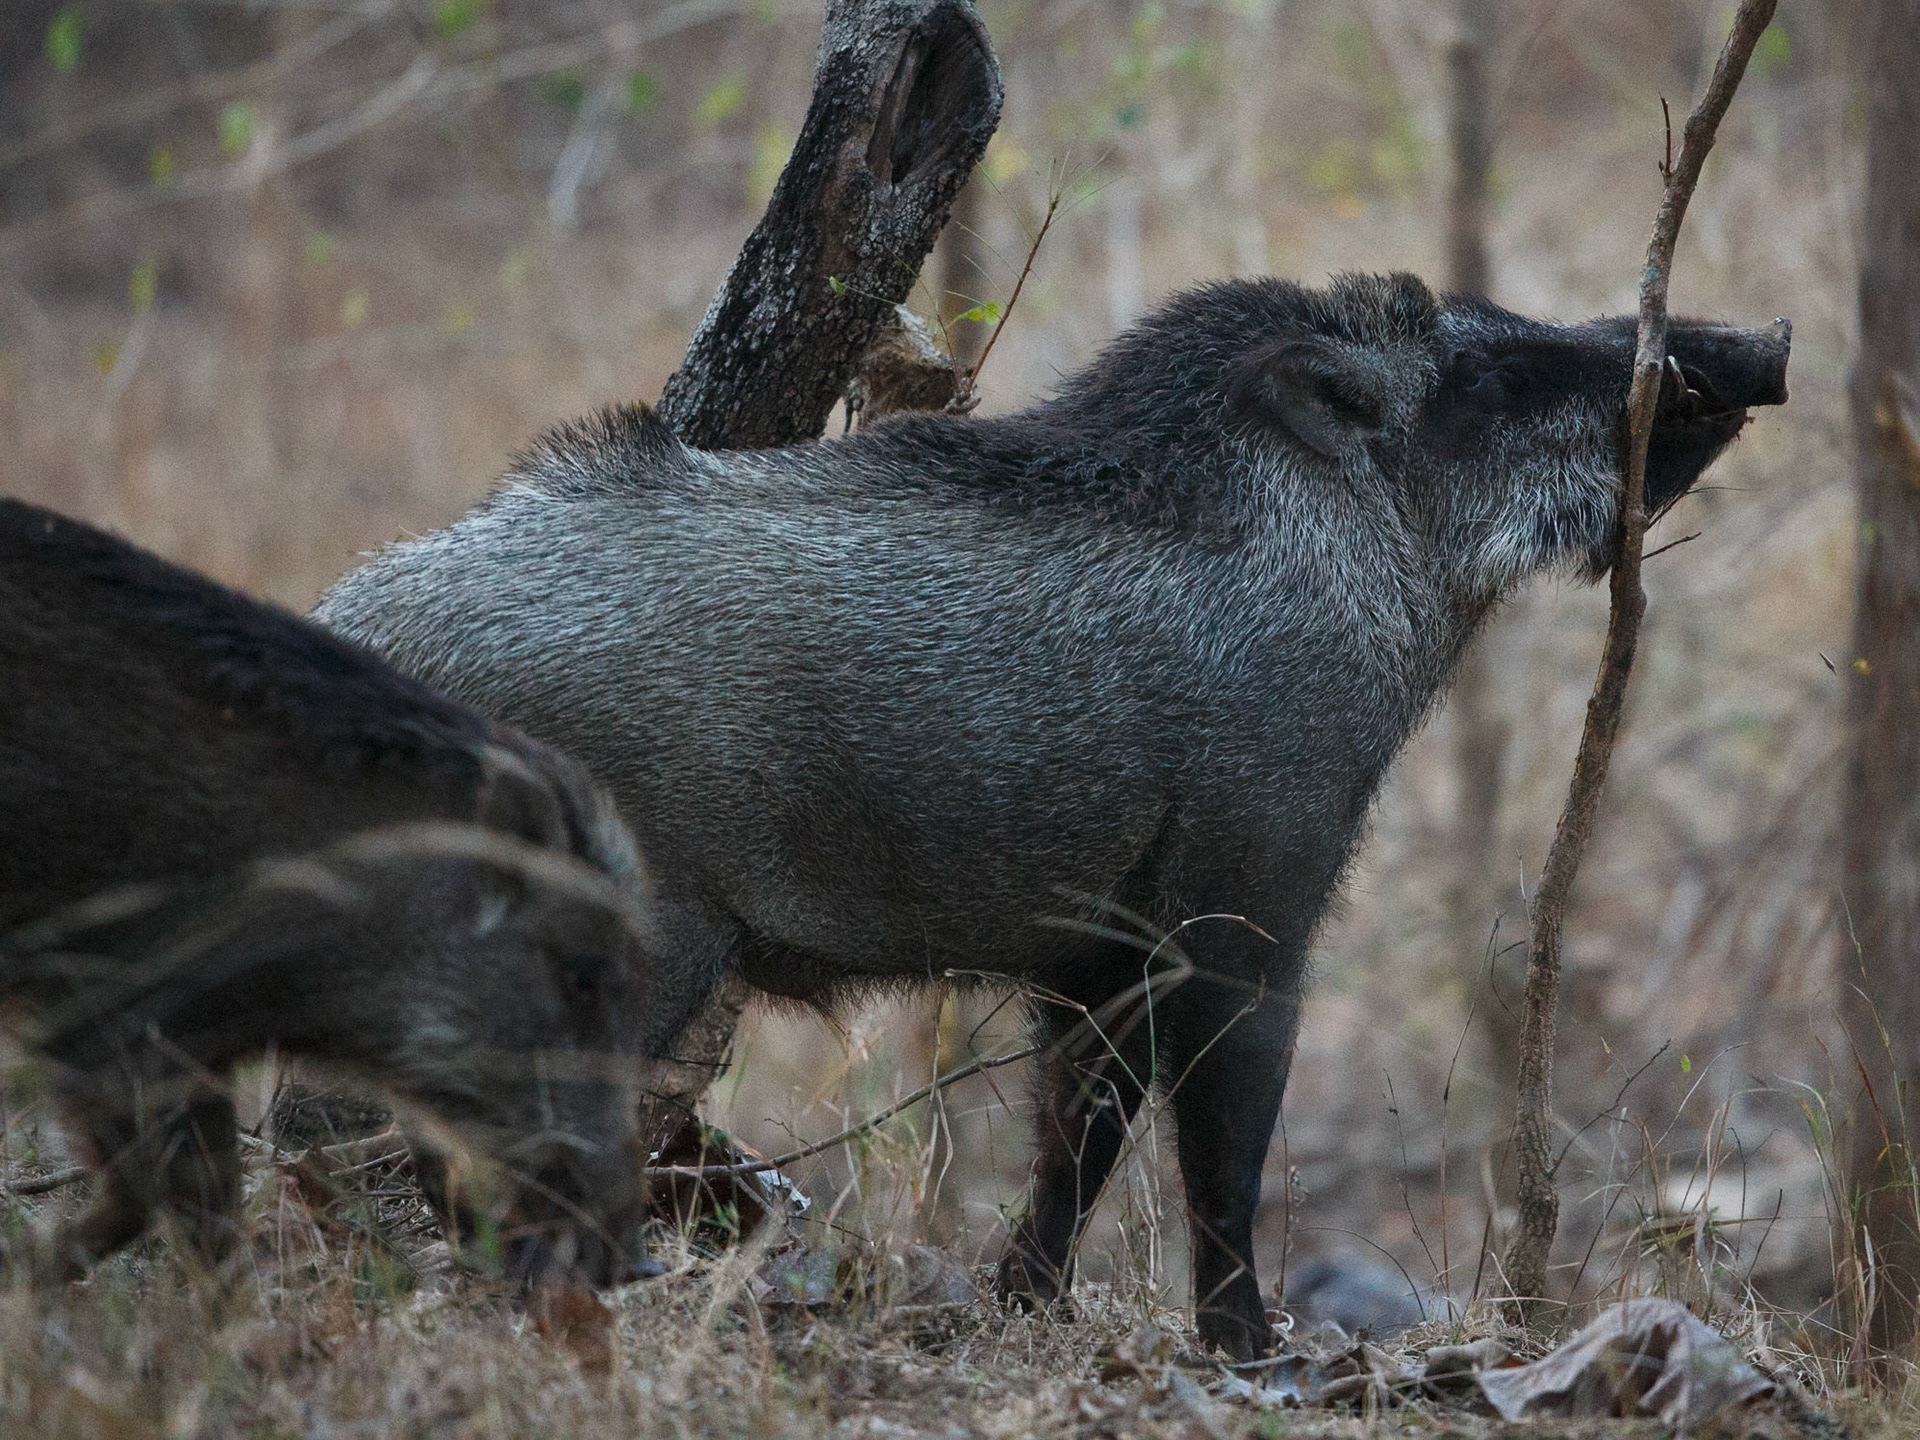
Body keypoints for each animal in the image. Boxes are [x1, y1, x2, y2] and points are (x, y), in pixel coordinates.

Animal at [0, 499, 700, 1286]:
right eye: (580, 974)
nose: (636, 1263)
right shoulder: (104, 1008)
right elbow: (150, 1196)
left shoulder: (187, 1041)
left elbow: (202, 1208)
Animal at [313, 272, 1790, 1356]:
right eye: (1476, 375)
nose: (1760, 338)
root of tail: (359, 622)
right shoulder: (1254, 891)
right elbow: (1224, 1133)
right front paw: (1252, 1351)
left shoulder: (1100, 950)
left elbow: (1082, 1126)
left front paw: (1023, 1309)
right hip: (617, 930)